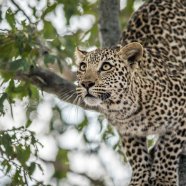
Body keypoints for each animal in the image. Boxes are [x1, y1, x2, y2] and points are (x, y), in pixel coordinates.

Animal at [74, 0, 186, 185]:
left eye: (106, 66)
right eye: (83, 67)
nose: (86, 83)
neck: (123, 106)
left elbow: (168, 149)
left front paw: (164, 177)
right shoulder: (126, 131)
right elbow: (136, 155)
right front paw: (140, 178)